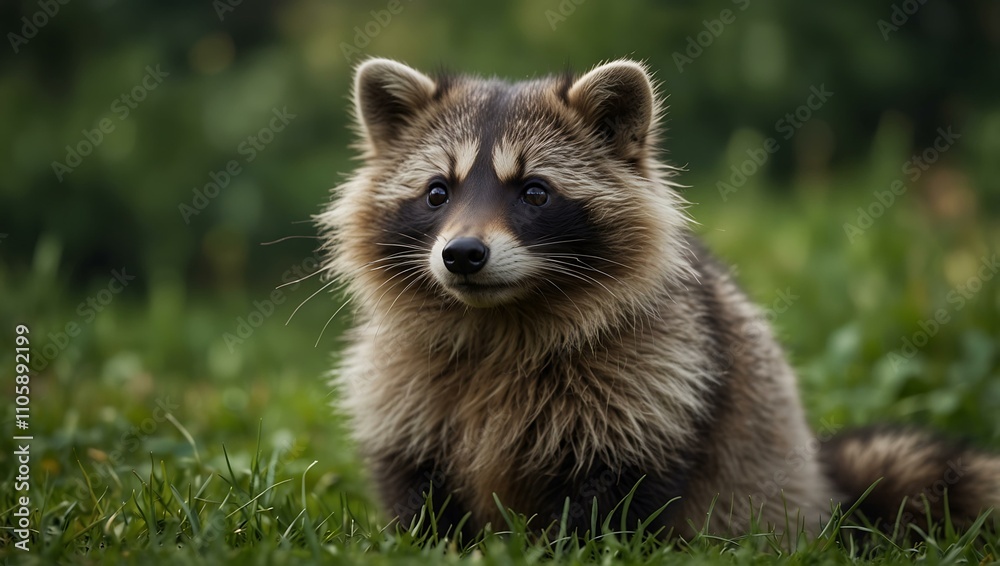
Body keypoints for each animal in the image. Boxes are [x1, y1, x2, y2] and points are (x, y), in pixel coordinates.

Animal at [316, 58, 1000, 539]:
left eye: (534, 192)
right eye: (438, 192)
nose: (461, 254)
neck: (500, 317)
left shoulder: (660, 376)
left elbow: (611, 496)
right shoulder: (402, 387)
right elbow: (415, 487)